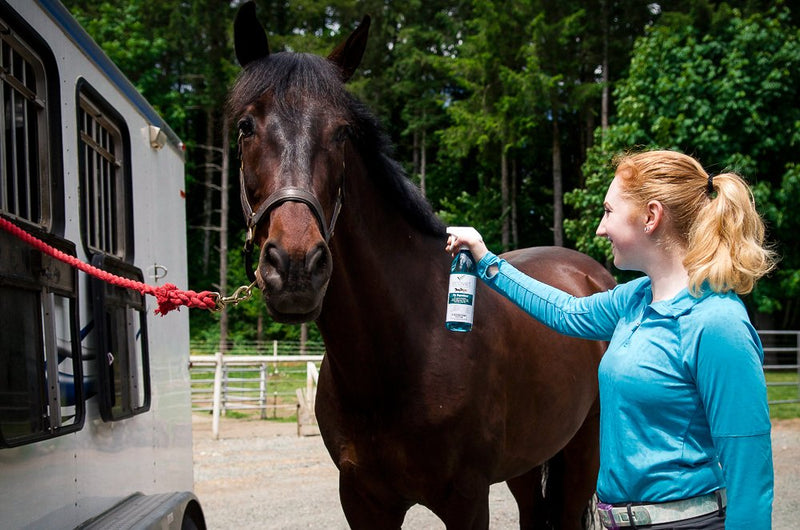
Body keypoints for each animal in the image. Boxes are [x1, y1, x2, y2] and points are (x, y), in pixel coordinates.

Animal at [229, 3, 616, 528]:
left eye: (342, 133)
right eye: (246, 127)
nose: (295, 268)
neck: (396, 355)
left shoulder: (467, 500)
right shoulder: (362, 500)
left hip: (582, 452)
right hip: (527, 460)